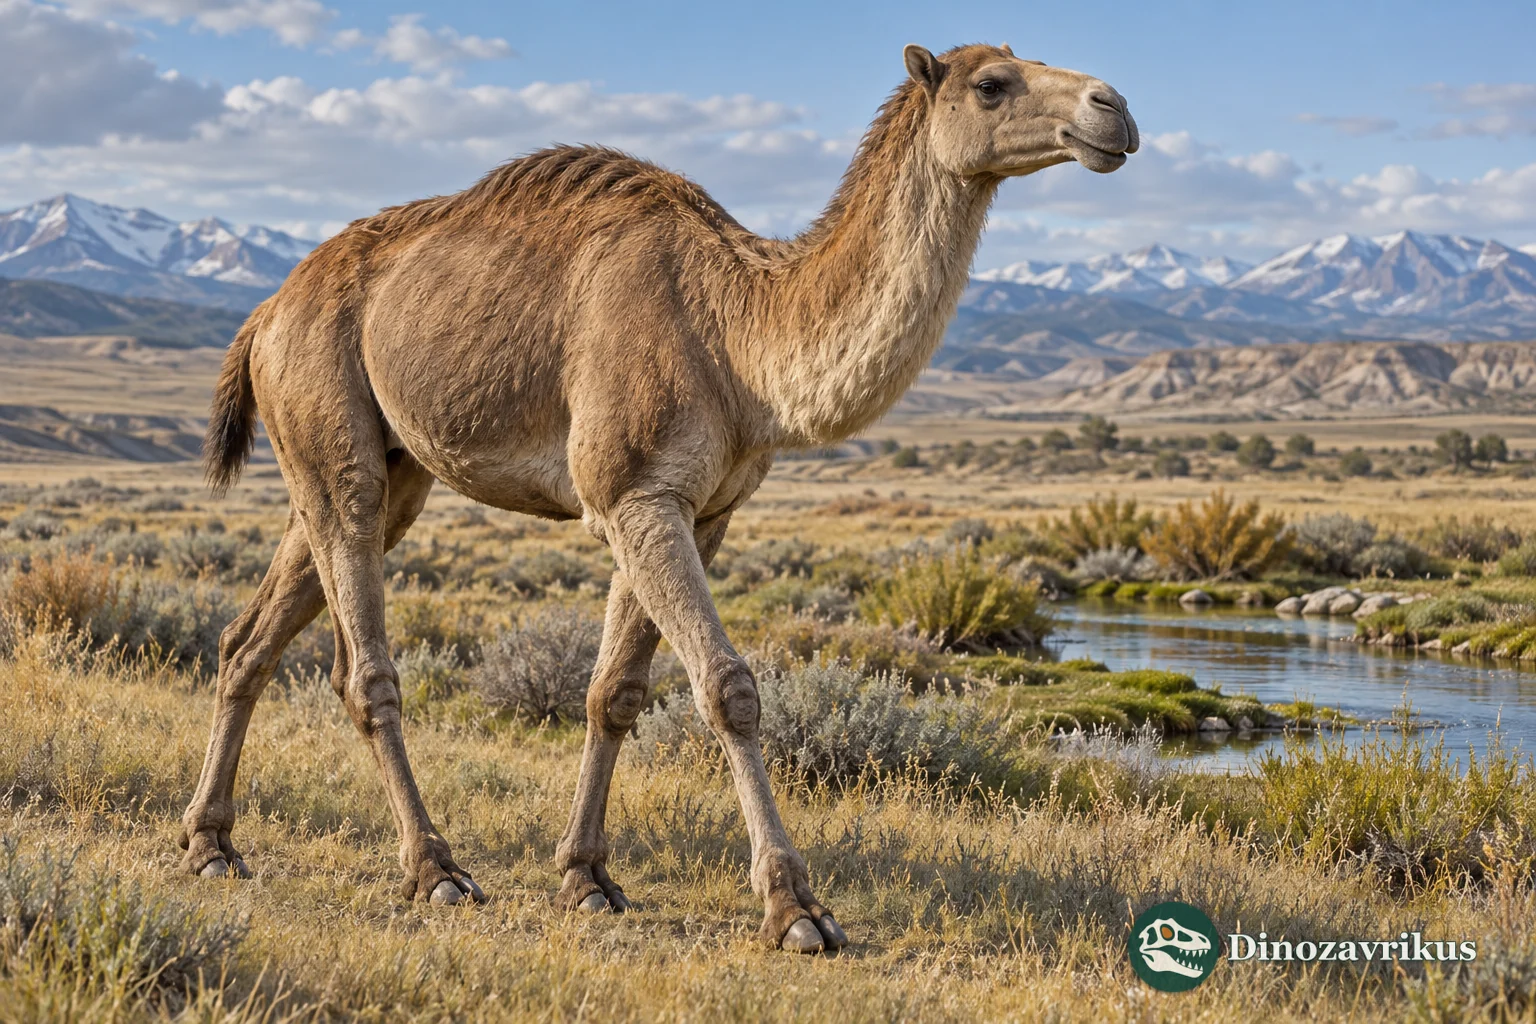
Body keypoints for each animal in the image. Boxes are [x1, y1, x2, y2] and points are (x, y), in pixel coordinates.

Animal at [182, 42, 1137, 954]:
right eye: (992, 84)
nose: (1115, 108)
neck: (740, 333)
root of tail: (264, 312)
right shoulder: (634, 492)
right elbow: (728, 688)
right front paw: (796, 909)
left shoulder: (700, 510)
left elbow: (614, 692)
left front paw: (586, 878)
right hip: (330, 424)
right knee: (364, 670)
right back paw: (435, 870)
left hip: (375, 467)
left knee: (249, 639)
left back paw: (211, 843)